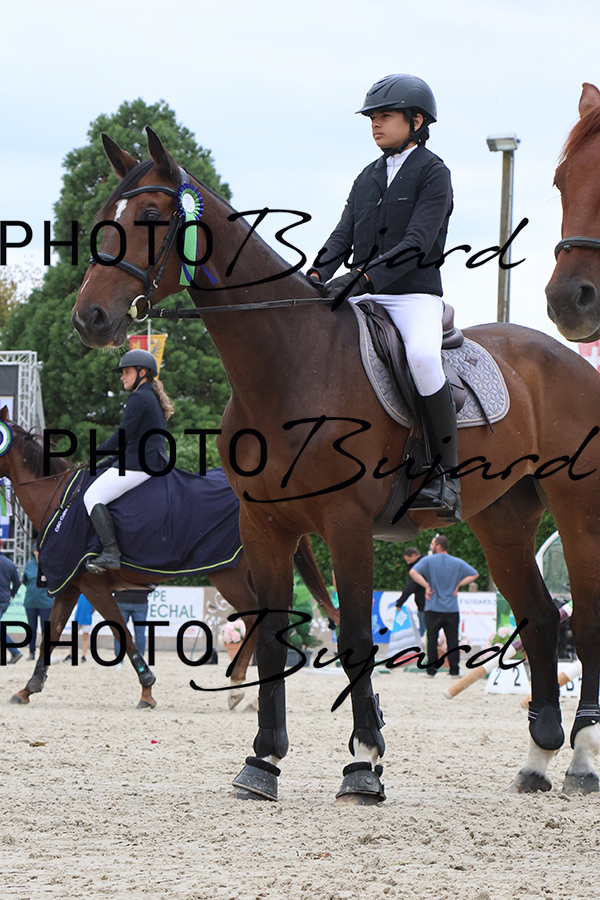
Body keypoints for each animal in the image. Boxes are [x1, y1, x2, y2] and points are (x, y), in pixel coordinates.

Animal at [0, 409, 335, 712]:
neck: (59, 503)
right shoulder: (72, 584)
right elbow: (52, 634)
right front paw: (27, 689)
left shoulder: (92, 584)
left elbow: (122, 632)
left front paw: (147, 691)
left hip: (229, 574)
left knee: (255, 618)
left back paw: (238, 690)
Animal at [70, 127, 600, 800]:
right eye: (102, 219)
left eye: (149, 216)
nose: (89, 318)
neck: (292, 364)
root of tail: (569, 359)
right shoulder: (265, 526)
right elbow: (272, 634)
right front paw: (263, 761)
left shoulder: (346, 526)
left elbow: (352, 639)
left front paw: (364, 762)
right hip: (501, 520)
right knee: (538, 617)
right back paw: (538, 757)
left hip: (577, 514)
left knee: (583, 618)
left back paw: (582, 756)